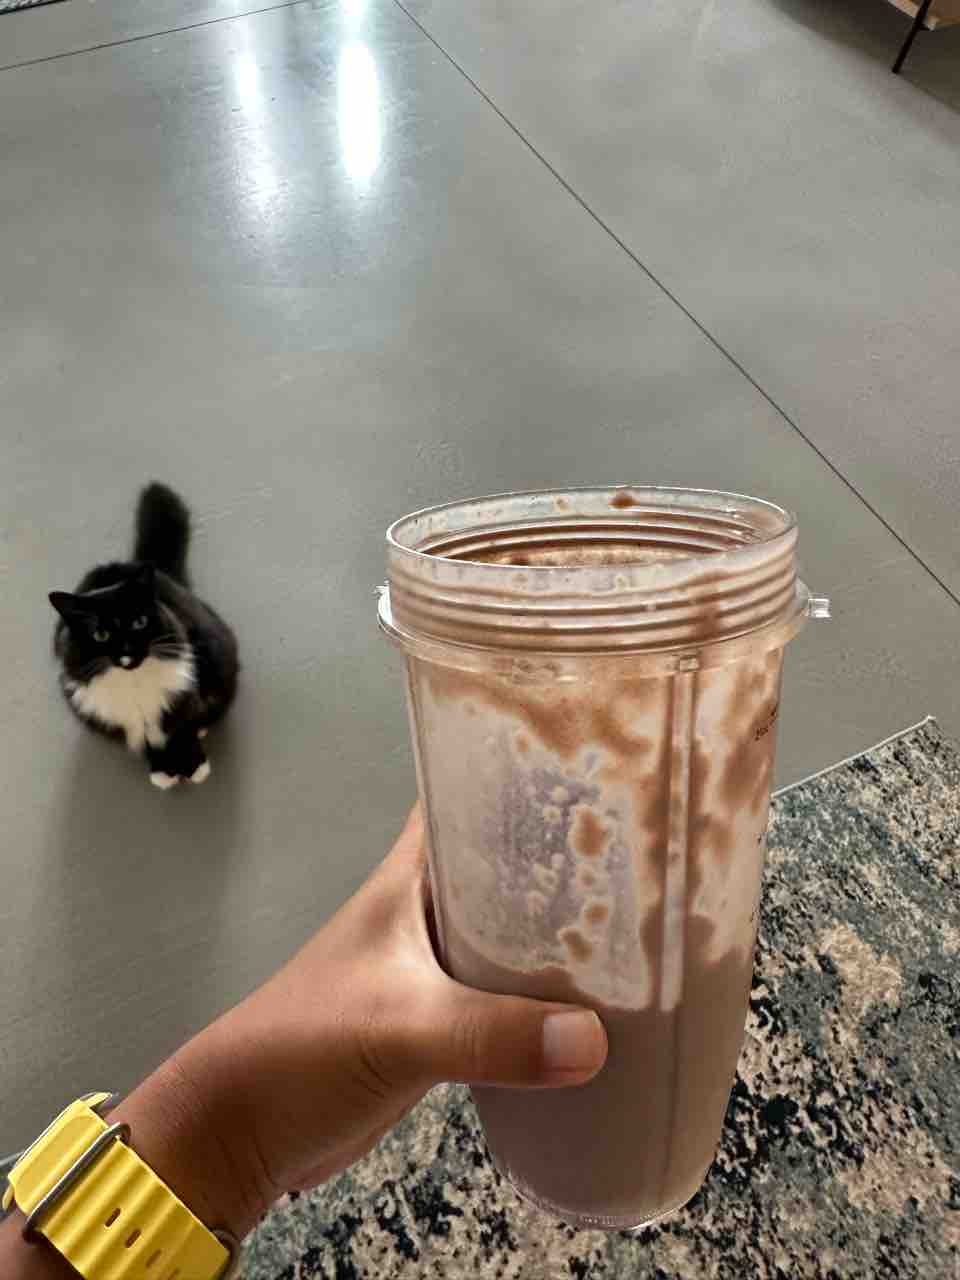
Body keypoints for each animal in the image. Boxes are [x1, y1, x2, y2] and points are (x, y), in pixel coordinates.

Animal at [49, 483, 238, 789]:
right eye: (100, 634)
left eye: (140, 622)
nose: (128, 652)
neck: (134, 683)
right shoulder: (126, 719)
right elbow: (149, 742)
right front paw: (163, 770)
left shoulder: (184, 691)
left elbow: (184, 728)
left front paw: (193, 765)